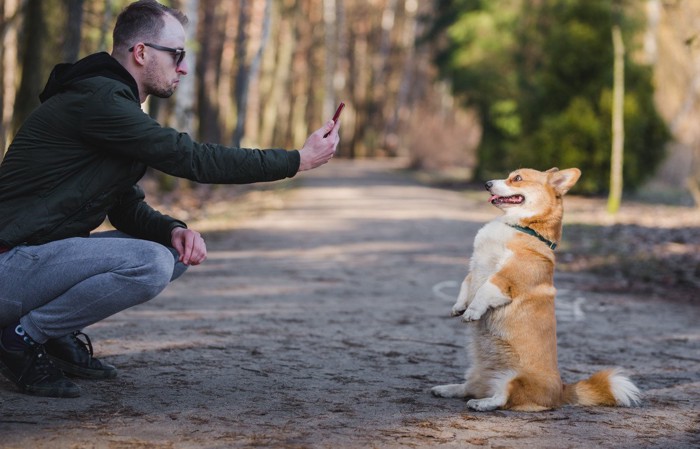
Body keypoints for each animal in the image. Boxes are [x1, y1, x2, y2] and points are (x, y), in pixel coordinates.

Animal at [426, 167, 640, 410]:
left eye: (517, 178)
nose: (486, 183)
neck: (523, 226)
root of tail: (562, 391)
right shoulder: (475, 267)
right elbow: (466, 284)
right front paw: (459, 307)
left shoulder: (504, 278)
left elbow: (483, 290)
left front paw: (472, 311)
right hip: (475, 372)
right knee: (470, 388)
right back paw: (446, 389)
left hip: (515, 379)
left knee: (503, 399)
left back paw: (482, 404)